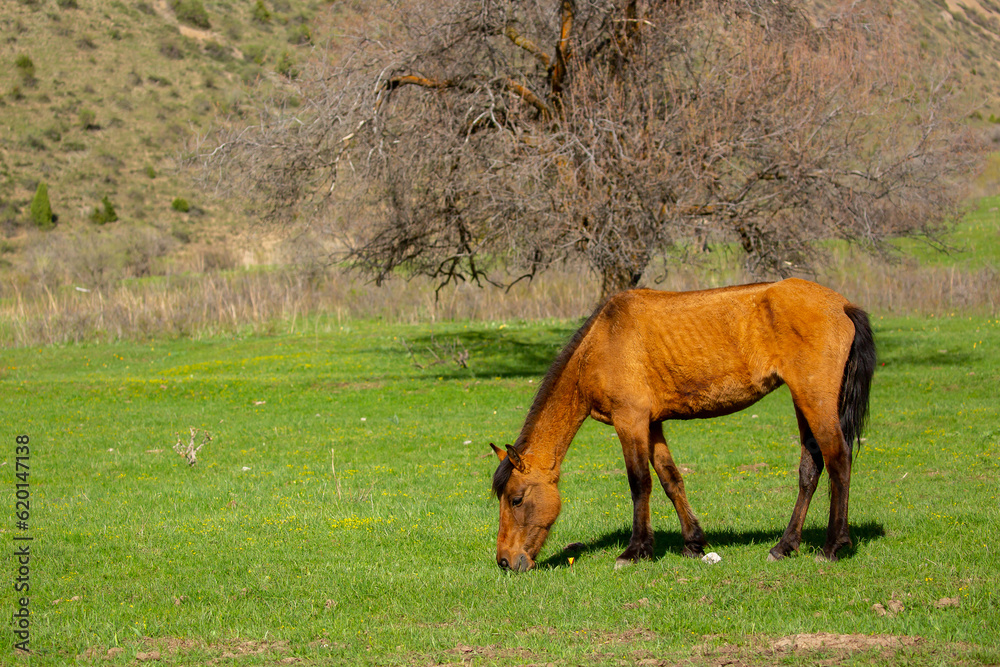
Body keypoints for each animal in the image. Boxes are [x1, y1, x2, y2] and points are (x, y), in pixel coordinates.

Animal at [490, 278, 875, 572]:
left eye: (516, 499)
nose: (505, 561)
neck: (603, 341)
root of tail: (842, 305)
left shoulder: (630, 421)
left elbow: (639, 483)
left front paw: (636, 551)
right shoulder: (652, 424)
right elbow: (670, 480)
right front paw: (693, 543)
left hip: (815, 399)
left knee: (838, 460)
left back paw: (832, 546)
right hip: (802, 401)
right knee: (810, 468)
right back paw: (785, 546)